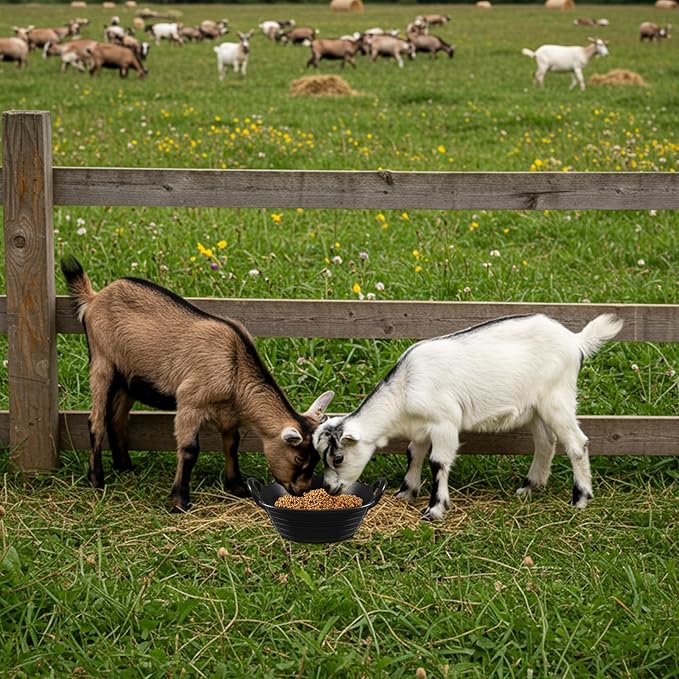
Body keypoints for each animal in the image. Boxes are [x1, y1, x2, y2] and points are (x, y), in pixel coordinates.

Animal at [61, 256, 334, 512]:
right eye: (299, 459)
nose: (301, 490)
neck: (235, 367)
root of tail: (94, 297)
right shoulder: (189, 402)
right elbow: (190, 450)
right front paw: (179, 501)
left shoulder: (229, 415)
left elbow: (232, 445)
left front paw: (236, 486)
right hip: (102, 361)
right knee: (96, 420)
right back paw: (97, 479)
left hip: (130, 378)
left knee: (116, 417)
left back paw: (125, 466)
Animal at [314, 314, 623, 521]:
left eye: (338, 457)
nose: (329, 488)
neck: (404, 390)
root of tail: (575, 340)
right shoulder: (422, 427)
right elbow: (414, 453)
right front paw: (406, 492)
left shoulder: (444, 422)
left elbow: (438, 462)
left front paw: (435, 509)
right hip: (535, 408)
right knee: (546, 442)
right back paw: (529, 488)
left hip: (557, 398)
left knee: (576, 442)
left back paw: (580, 498)